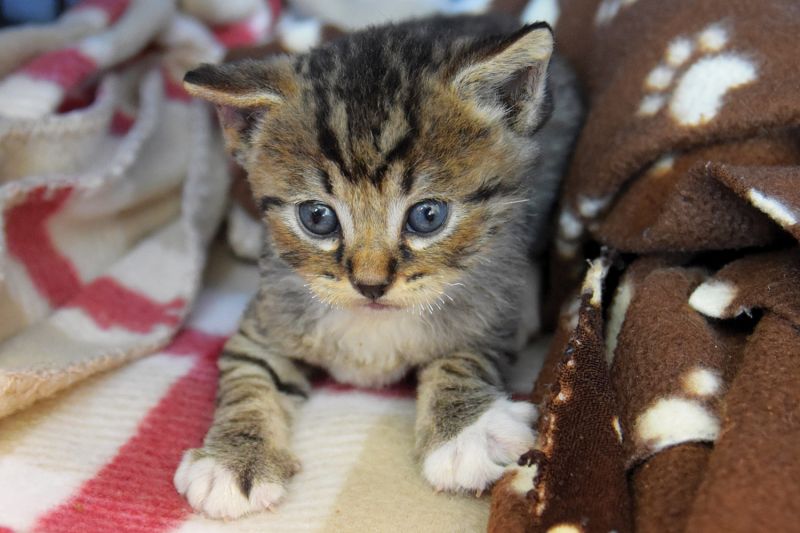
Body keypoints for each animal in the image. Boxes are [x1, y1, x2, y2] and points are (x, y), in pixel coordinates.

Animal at [173, 13, 580, 520]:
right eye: (317, 217)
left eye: (428, 216)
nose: (370, 284)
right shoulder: (267, 316)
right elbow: (247, 370)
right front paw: (232, 458)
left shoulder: (483, 315)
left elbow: (466, 352)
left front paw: (464, 430)